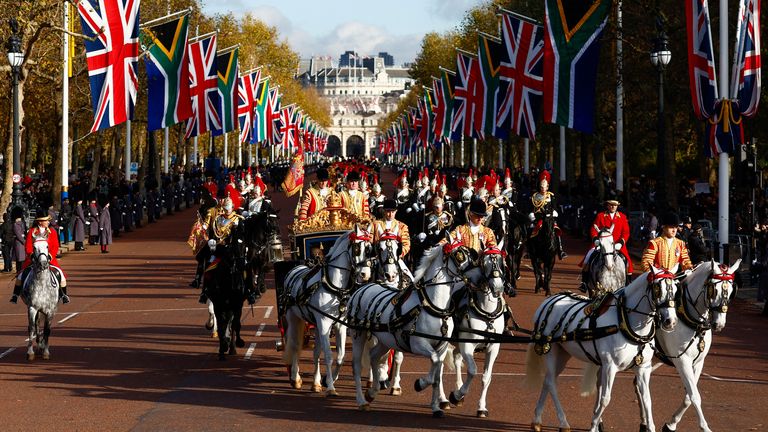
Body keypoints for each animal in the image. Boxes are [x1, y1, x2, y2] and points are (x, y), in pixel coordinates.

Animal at [284, 224, 376, 396]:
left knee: (315, 352)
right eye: (357, 248)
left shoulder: (339, 325)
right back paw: (295, 378)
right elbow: (328, 356)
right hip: (294, 318)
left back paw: (315, 383)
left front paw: (328, 380)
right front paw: (331, 388)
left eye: (370, 248)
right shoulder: (324, 322)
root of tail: (295, 268)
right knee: (295, 344)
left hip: (316, 325)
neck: (335, 287)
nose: (365, 275)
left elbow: (340, 356)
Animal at [352, 241, 484, 416]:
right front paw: (420, 384)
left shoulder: (441, 347)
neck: (433, 306)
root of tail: (363, 288)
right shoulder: (418, 344)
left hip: (385, 340)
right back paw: (361, 400)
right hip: (358, 335)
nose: (481, 278)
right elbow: (434, 364)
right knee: (357, 365)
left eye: (472, 253)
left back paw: (372, 392)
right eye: (460, 255)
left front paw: (436, 407)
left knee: (374, 356)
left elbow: (437, 375)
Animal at [450, 246, 510, 418]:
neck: (487, 313)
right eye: (485, 263)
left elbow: (486, 377)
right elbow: (472, 370)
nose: (498, 287)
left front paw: (482, 407)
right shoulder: (467, 345)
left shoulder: (493, 348)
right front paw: (457, 395)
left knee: (456, 358)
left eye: (502, 262)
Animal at [524, 264, 680, 430]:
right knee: (551, 383)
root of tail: (546, 302)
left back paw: (537, 420)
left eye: (676, 289)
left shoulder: (643, 368)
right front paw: (593, 426)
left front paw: (649, 426)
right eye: (657, 288)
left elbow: (647, 400)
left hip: (563, 353)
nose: (670, 321)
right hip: (550, 350)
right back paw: (563, 422)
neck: (625, 321)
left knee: (548, 380)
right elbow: (605, 399)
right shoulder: (610, 366)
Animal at [640, 258, 740, 430]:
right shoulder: (682, 361)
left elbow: (688, 396)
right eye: (713, 290)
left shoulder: (698, 362)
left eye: (732, 290)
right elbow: (695, 396)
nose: (719, 324)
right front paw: (705, 427)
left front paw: (671, 424)